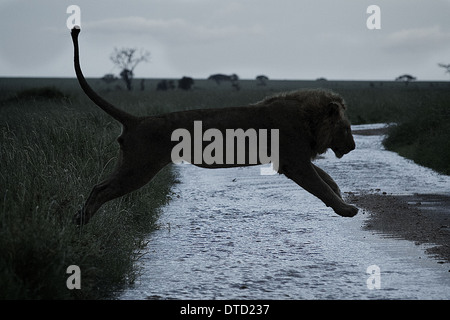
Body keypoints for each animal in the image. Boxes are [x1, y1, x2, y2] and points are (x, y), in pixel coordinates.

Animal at [71, 27, 358, 226]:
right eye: (346, 128)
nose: (354, 147)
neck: (309, 117)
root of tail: (137, 120)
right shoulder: (294, 162)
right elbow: (320, 186)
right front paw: (346, 210)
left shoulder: (292, 159)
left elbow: (327, 179)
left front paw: (342, 198)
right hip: (139, 168)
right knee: (101, 189)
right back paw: (81, 223)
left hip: (129, 163)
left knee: (98, 187)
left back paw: (80, 221)